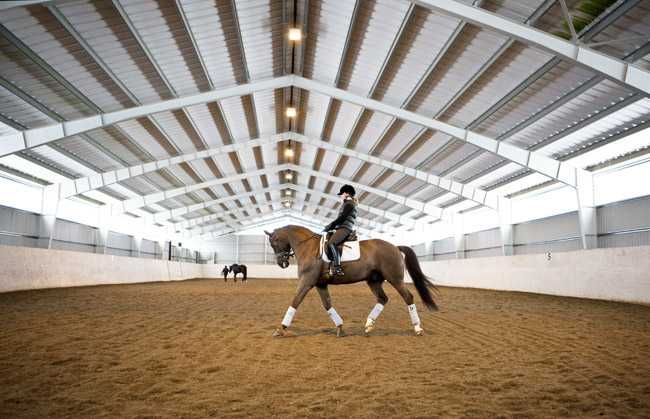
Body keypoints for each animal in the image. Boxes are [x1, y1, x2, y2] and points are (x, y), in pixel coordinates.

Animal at [262, 226, 436, 338]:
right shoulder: (320, 284)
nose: (282, 263)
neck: (308, 247)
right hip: (373, 281)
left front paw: (280, 329)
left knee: (408, 297)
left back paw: (418, 329)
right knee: (383, 299)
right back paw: (368, 325)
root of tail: (395, 246)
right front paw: (340, 327)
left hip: (395, 279)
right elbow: (327, 305)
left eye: (274, 242)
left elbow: (295, 302)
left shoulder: (306, 282)